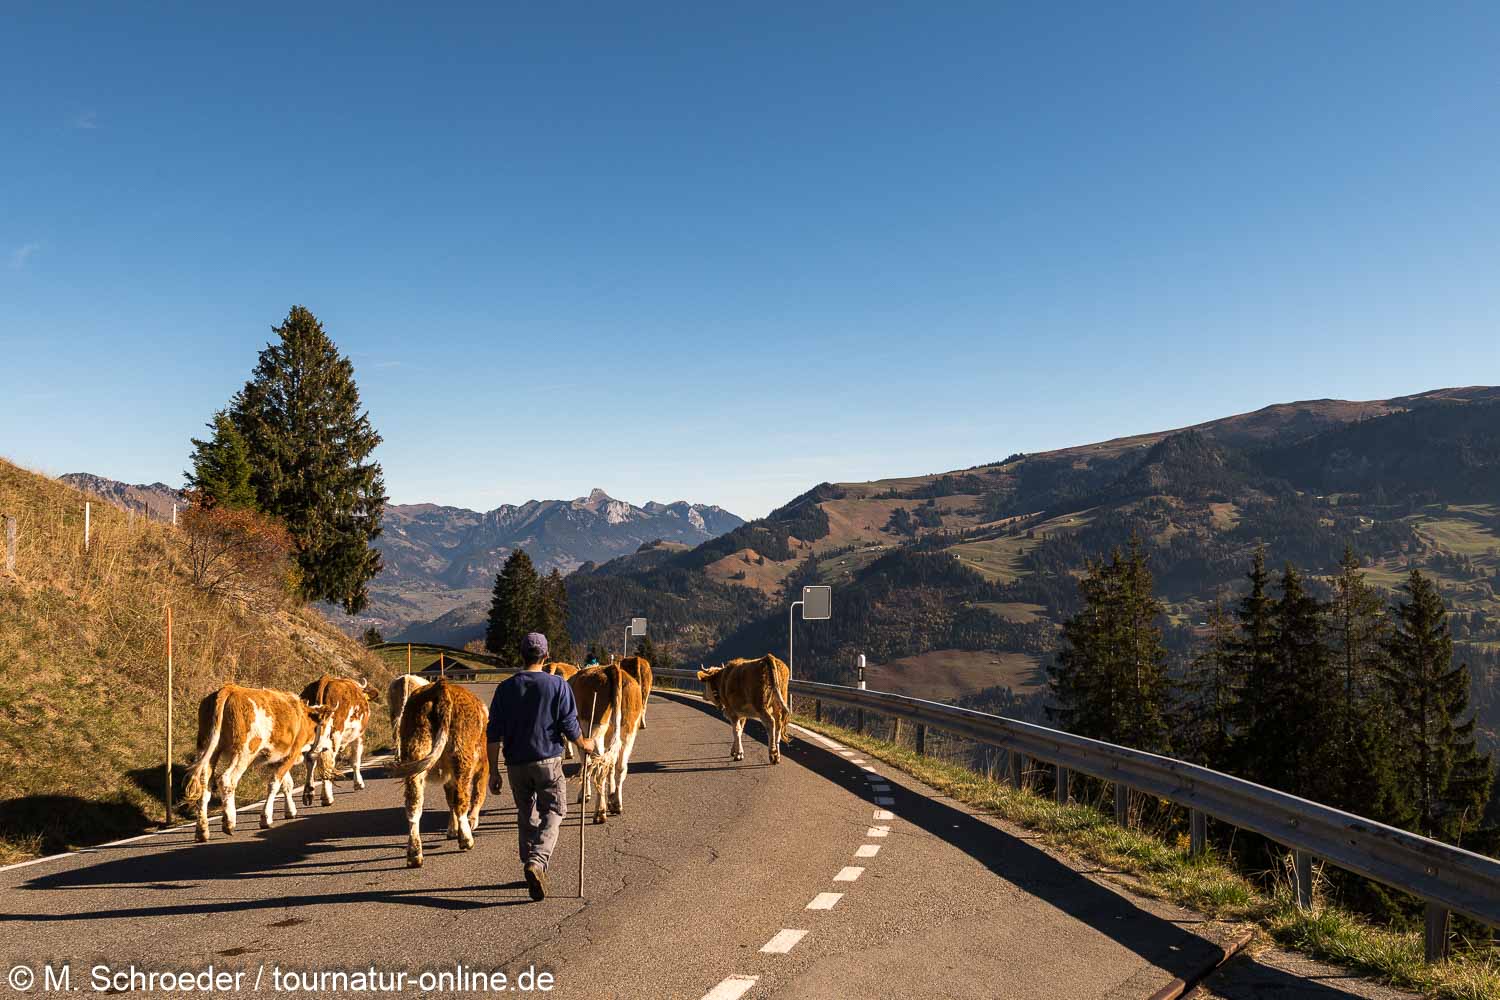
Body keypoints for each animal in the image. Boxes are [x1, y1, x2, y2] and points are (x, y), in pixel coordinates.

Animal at [184, 683, 334, 839]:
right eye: (329, 728)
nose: (328, 746)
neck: (304, 717)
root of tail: (230, 688)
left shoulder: (276, 758)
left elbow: (287, 784)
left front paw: (290, 811)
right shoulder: (291, 755)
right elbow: (274, 784)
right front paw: (266, 818)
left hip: (207, 748)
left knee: (204, 786)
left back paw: (202, 830)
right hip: (244, 752)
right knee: (227, 780)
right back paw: (229, 823)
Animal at [295, 671, 372, 803]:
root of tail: (325, 680)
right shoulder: (359, 736)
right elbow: (355, 761)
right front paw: (359, 784)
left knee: (311, 759)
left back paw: (308, 793)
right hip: (334, 735)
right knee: (328, 760)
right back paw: (327, 797)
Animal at [387, 680, 486, 869]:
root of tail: (441, 686)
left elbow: (449, 800)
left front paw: (452, 829)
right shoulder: (483, 765)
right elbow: (476, 793)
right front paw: (464, 826)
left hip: (415, 750)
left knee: (413, 805)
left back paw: (414, 855)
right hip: (462, 757)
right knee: (461, 799)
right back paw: (466, 840)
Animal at [567, 668, 645, 827]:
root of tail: (612, 668)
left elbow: (586, 764)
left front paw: (584, 795)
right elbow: (610, 765)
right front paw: (611, 797)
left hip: (594, 728)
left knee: (599, 769)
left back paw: (600, 814)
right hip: (628, 729)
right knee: (619, 767)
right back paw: (617, 805)